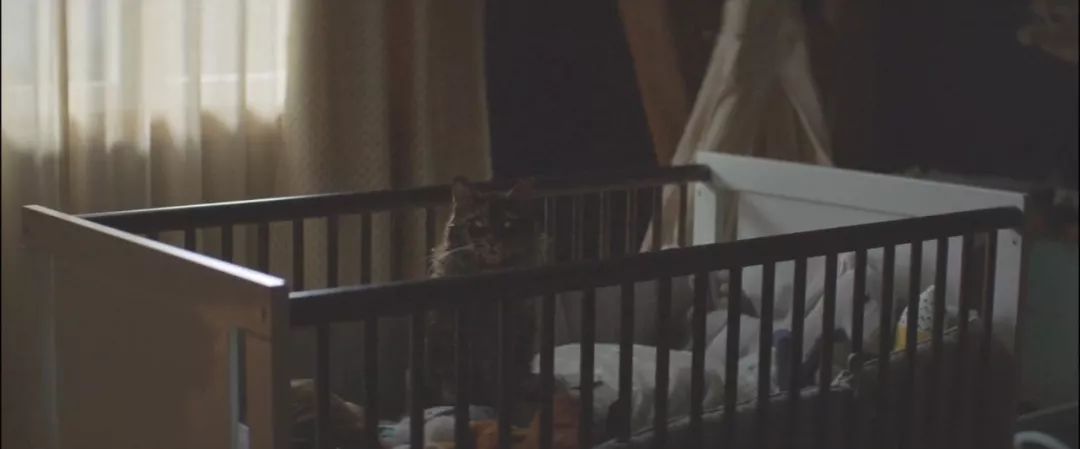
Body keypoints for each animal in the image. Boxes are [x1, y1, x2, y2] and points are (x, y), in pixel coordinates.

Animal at [424, 177, 550, 412]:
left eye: (508, 224)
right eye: (478, 224)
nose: (492, 241)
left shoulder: (519, 331)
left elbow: (510, 373)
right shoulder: (447, 333)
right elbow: (451, 378)